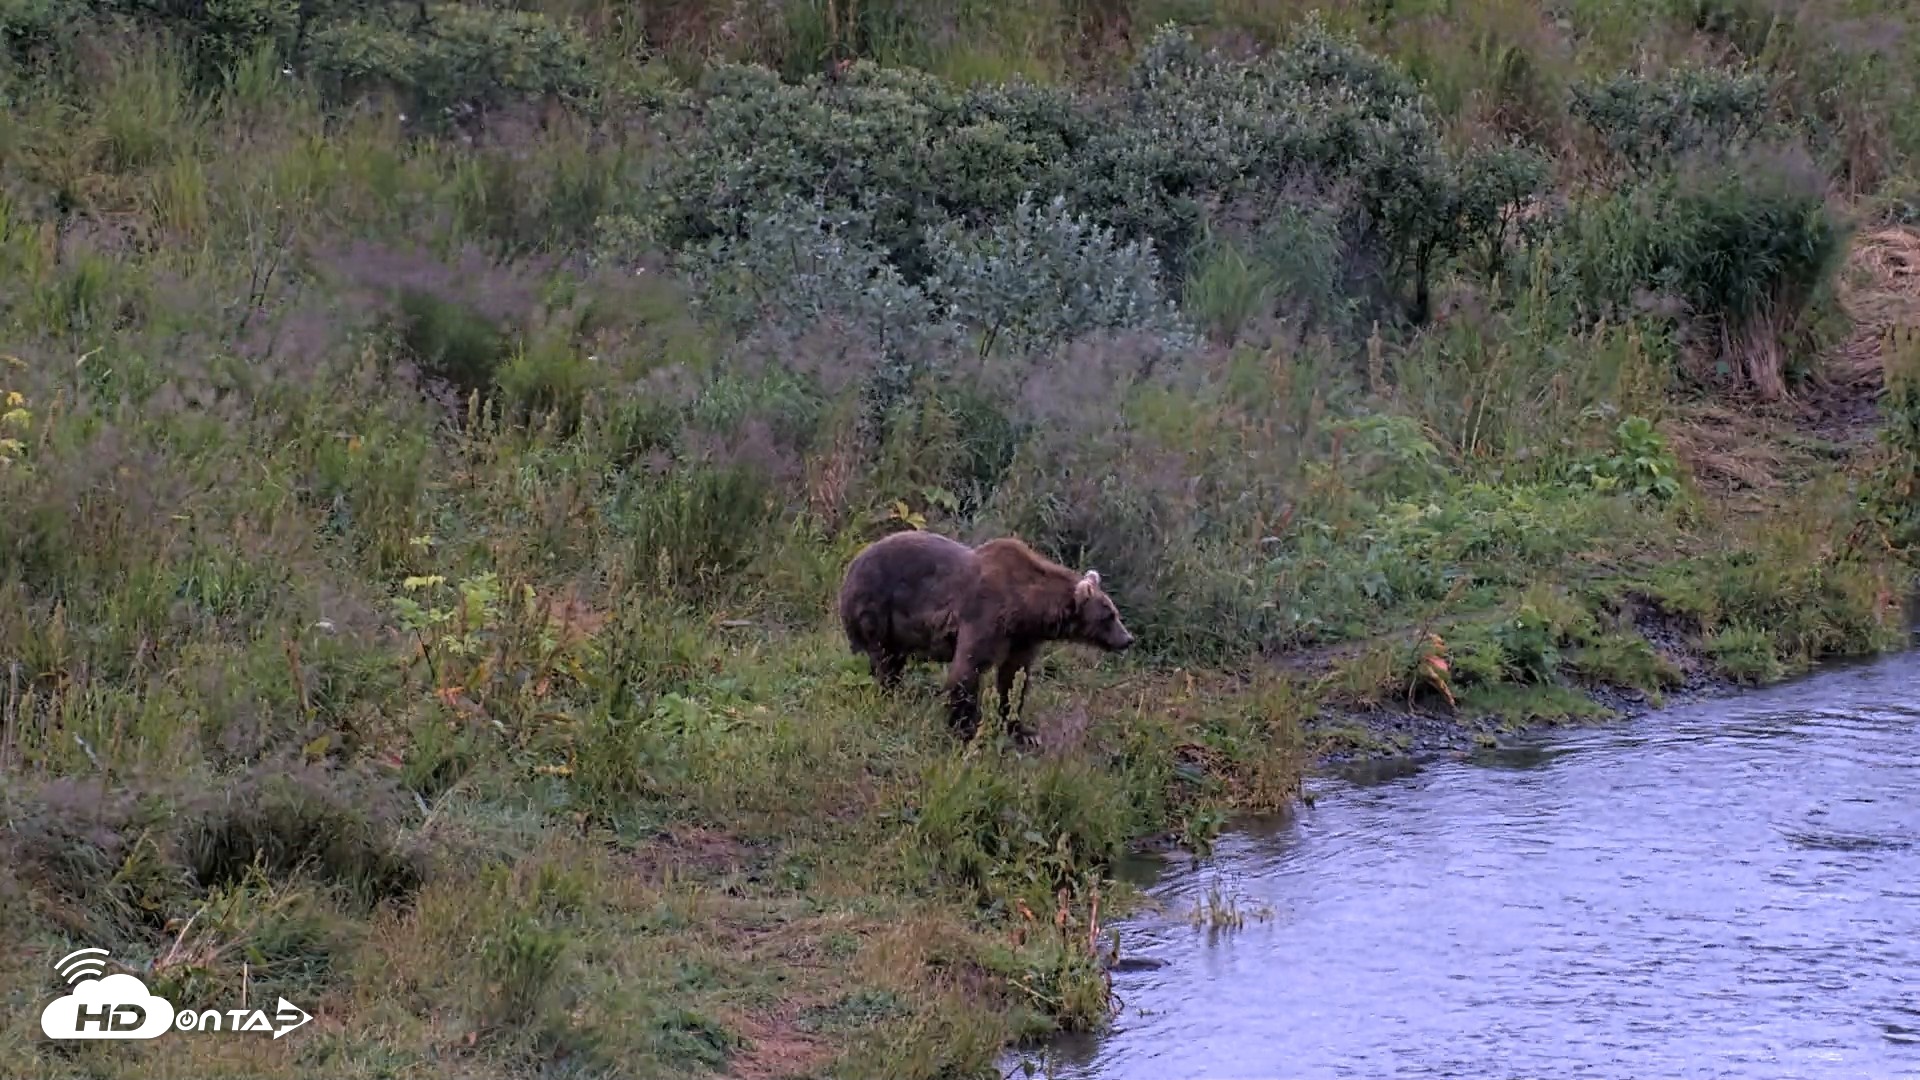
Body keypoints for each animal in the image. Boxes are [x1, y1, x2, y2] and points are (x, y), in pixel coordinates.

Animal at [836, 529, 1135, 743]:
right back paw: (889, 690)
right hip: (877, 607)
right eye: (1109, 616)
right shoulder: (986, 615)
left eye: (1115, 612)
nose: (1128, 639)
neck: (1027, 607)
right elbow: (968, 670)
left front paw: (1021, 729)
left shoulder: (1021, 637)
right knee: (883, 657)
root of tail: (851, 565)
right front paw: (965, 727)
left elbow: (1013, 678)